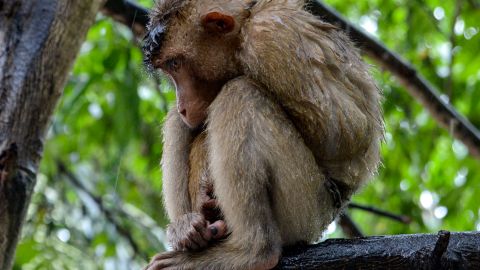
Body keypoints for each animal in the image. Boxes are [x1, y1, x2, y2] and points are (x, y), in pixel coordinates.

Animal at [142, 0, 382, 270]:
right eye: (169, 68)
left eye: (175, 64)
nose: (182, 104)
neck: (243, 30)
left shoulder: (270, 38)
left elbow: (345, 134)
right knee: (181, 120)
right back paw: (190, 232)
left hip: (306, 207)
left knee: (241, 93)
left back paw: (253, 251)